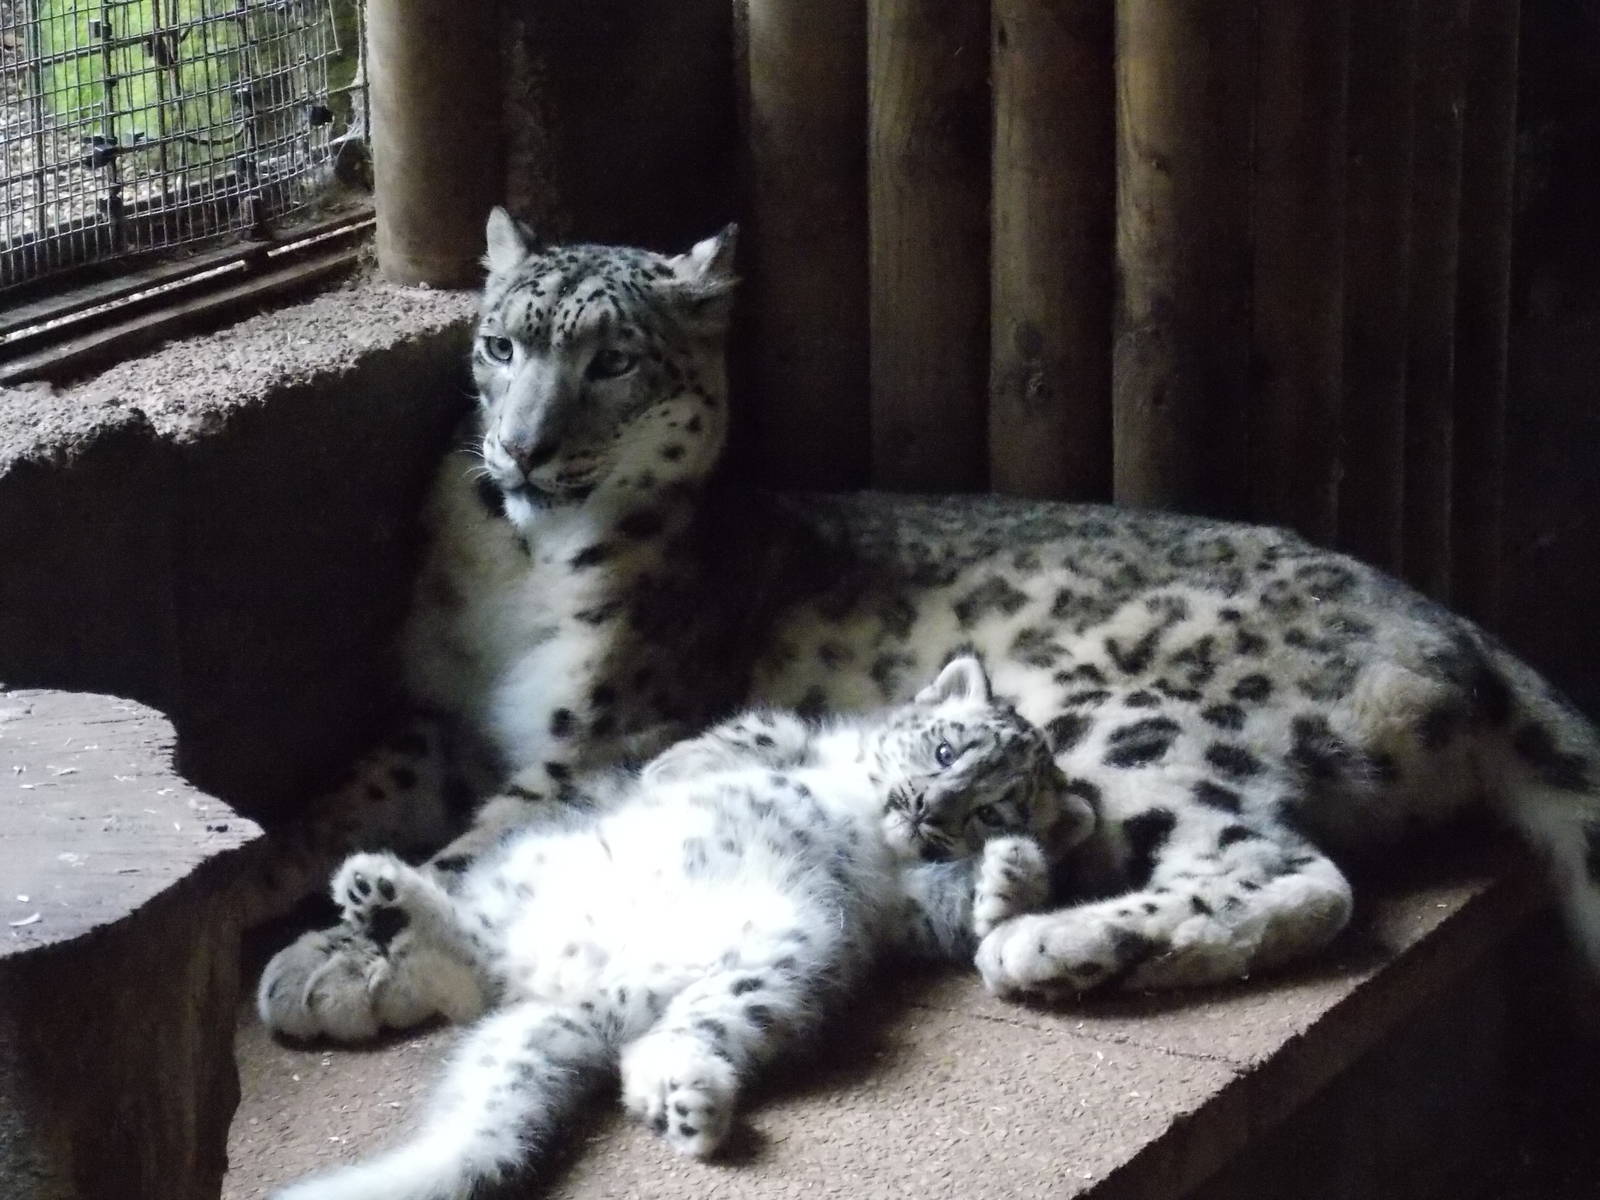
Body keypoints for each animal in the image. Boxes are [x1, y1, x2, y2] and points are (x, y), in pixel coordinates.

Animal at [254, 207, 1600, 1043]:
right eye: (500, 345)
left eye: (614, 362)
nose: (524, 449)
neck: (508, 570)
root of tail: (1455, 627)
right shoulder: (432, 712)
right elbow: (344, 796)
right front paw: (266, 878)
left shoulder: (593, 743)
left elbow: (474, 847)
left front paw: (335, 962)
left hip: (1119, 721)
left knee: (1290, 873)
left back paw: (1050, 946)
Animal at [268, 656, 1077, 1200]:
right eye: (945, 751)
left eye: (989, 810)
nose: (926, 807)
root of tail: (575, 992)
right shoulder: (804, 734)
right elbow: (762, 727)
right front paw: (687, 762)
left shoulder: (896, 907)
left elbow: (956, 900)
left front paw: (1009, 874)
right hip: (524, 871)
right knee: (472, 962)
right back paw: (388, 901)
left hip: (781, 954)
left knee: (653, 1035)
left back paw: (685, 1097)